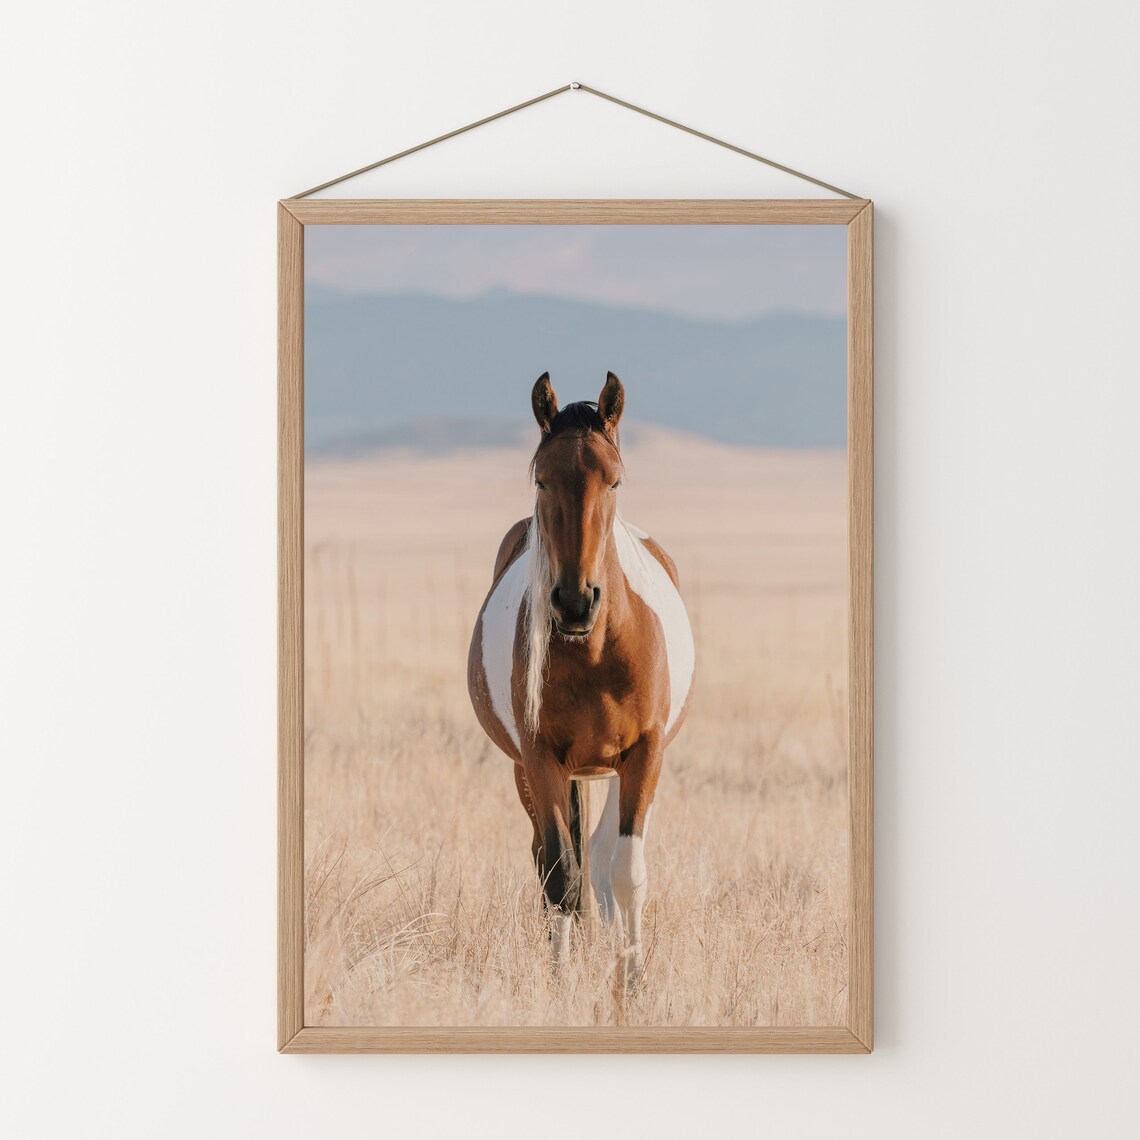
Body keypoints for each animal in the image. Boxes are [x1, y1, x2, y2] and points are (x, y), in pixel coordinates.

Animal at [467, 371, 695, 979]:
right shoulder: (540, 758)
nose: (574, 602)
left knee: (599, 855)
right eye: (542, 479)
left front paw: (632, 981)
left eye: (613, 481)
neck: (595, 653)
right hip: (532, 770)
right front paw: (560, 981)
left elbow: (626, 873)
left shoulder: (644, 754)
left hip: (611, 770)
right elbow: (560, 877)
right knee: (555, 860)